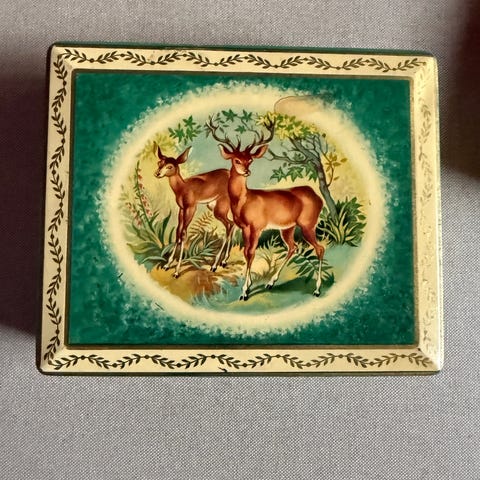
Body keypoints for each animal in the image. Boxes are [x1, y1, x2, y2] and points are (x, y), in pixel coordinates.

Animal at [153, 143, 234, 278]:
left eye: (170, 166)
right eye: (159, 163)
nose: (157, 173)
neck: (183, 187)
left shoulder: (191, 208)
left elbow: (184, 234)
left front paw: (177, 271)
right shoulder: (181, 209)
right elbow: (178, 233)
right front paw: (167, 265)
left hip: (220, 209)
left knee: (229, 225)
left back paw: (214, 265)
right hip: (216, 208)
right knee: (232, 224)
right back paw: (224, 261)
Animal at [206, 117, 325, 301]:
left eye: (250, 160)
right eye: (236, 160)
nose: (246, 171)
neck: (244, 201)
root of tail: (318, 197)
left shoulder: (256, 227)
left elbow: (251, 253)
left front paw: (244, 291)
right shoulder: (244, 228)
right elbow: (246, 252)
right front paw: (248, 285)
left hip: (307, 224)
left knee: (320, 248)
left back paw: (317, 290)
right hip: (288, 228)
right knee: (293, 247)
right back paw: (270, 282)